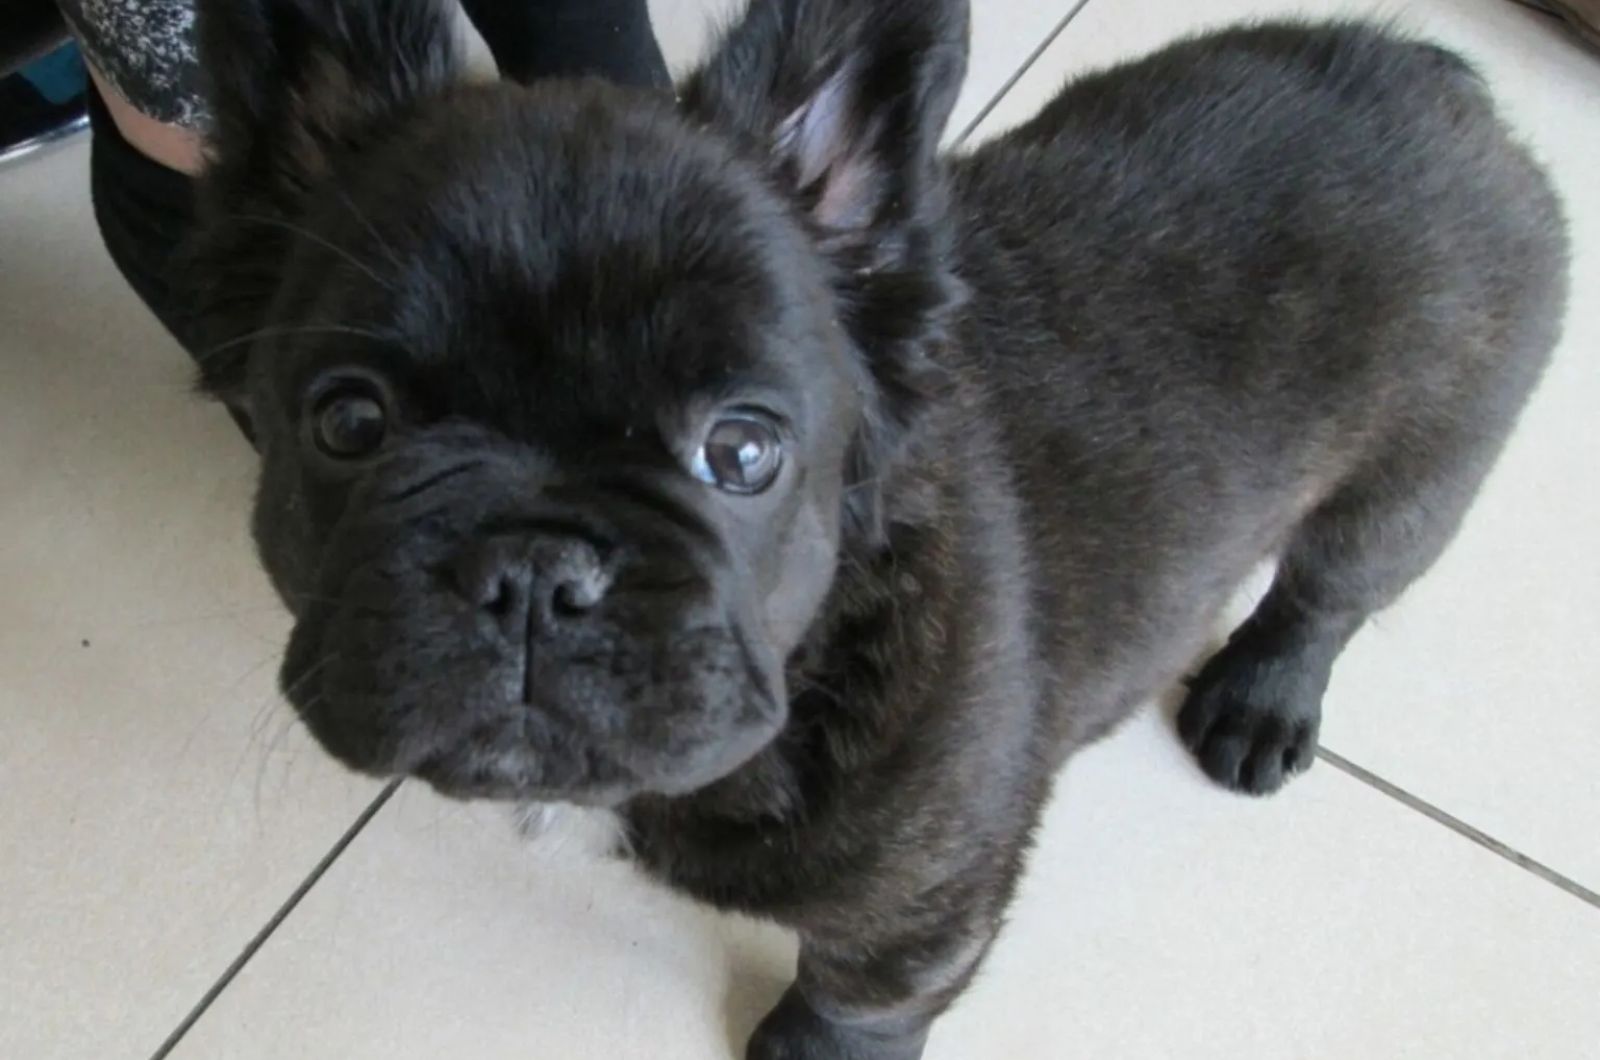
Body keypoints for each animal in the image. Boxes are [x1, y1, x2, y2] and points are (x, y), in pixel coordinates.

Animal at [184, 2, 1561, 1060]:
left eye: (741, 451)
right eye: (349, 422)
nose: (532, 566)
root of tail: (1435, 80)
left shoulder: (924, 899)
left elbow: (862, 991)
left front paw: (814, 1051)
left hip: (1419, 470)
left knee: (1332, 587)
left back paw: (1260, 698)